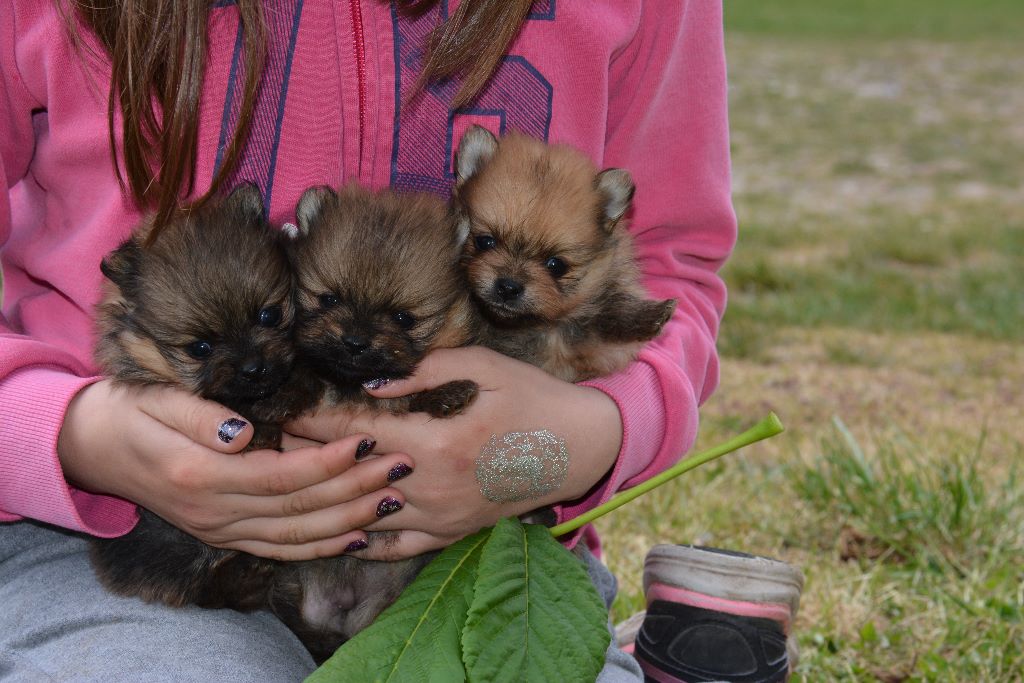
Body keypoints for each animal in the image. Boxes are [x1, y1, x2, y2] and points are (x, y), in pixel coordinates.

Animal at [90, 184, 317, 610]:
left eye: (268, 315)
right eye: (200, 348)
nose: (253, 368)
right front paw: (261, 427)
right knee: (210, 588)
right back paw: (246, 572)